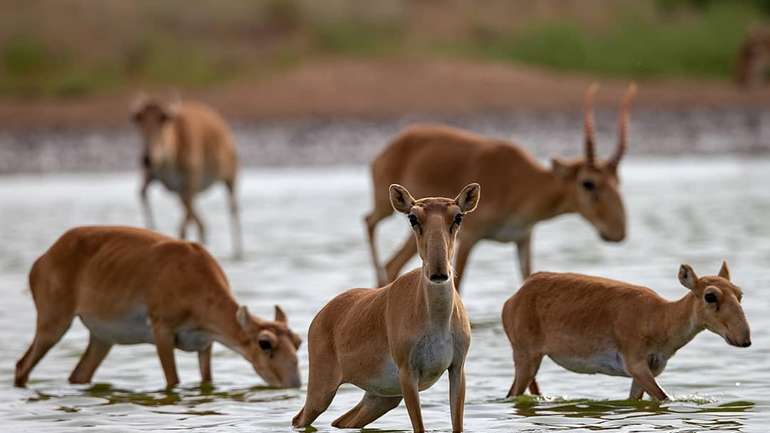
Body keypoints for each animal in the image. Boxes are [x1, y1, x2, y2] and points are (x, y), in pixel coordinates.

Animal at [13, 226, 300, 388]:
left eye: (297, 342)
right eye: (265, 343)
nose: (294, 384)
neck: (195, 276)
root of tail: (43, 259)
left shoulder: (205, 344)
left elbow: (207, 381)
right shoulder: (162, 331)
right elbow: (173, 381)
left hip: (102, 338)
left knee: (78, 375)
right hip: (54, 323)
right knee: (22, 365)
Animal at [130, 96, 242, 258]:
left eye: (163, 120)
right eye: (139, 122)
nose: (147, 158)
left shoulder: (191, 181)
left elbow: (183, 226)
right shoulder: (153, 176)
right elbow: (142, 193)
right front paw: (151, 231)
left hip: (229, 178)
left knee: (233, 209)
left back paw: (237, 252)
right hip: (181, 191)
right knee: (200, 221)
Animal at [292, 183, 476, 432]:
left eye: (458, 216)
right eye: (412, 217)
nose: (438, 273)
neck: (436, 320)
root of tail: (320, 316)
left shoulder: (457, 368)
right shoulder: (408, 374)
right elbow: (419, 427)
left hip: (381, 397)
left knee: (343, 421)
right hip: (322, 390)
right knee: (300, 418)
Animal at [366, 83, 636, 290]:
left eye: (617, 181)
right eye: (588, 183)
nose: (619, 232)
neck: (522, 183)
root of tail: (392, 146)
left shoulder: (523, 239)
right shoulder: (470, 237)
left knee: (391, 262)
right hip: (387, 208)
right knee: (371, 225)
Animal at [498, 260, 752, 398]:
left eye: (740, 293)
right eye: (710, 296)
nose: (744, 340)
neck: (660, 317)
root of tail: (512, 299)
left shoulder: (648, 371)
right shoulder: (637, 365)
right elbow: (664, 397)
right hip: (526, 357)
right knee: (512, 393)